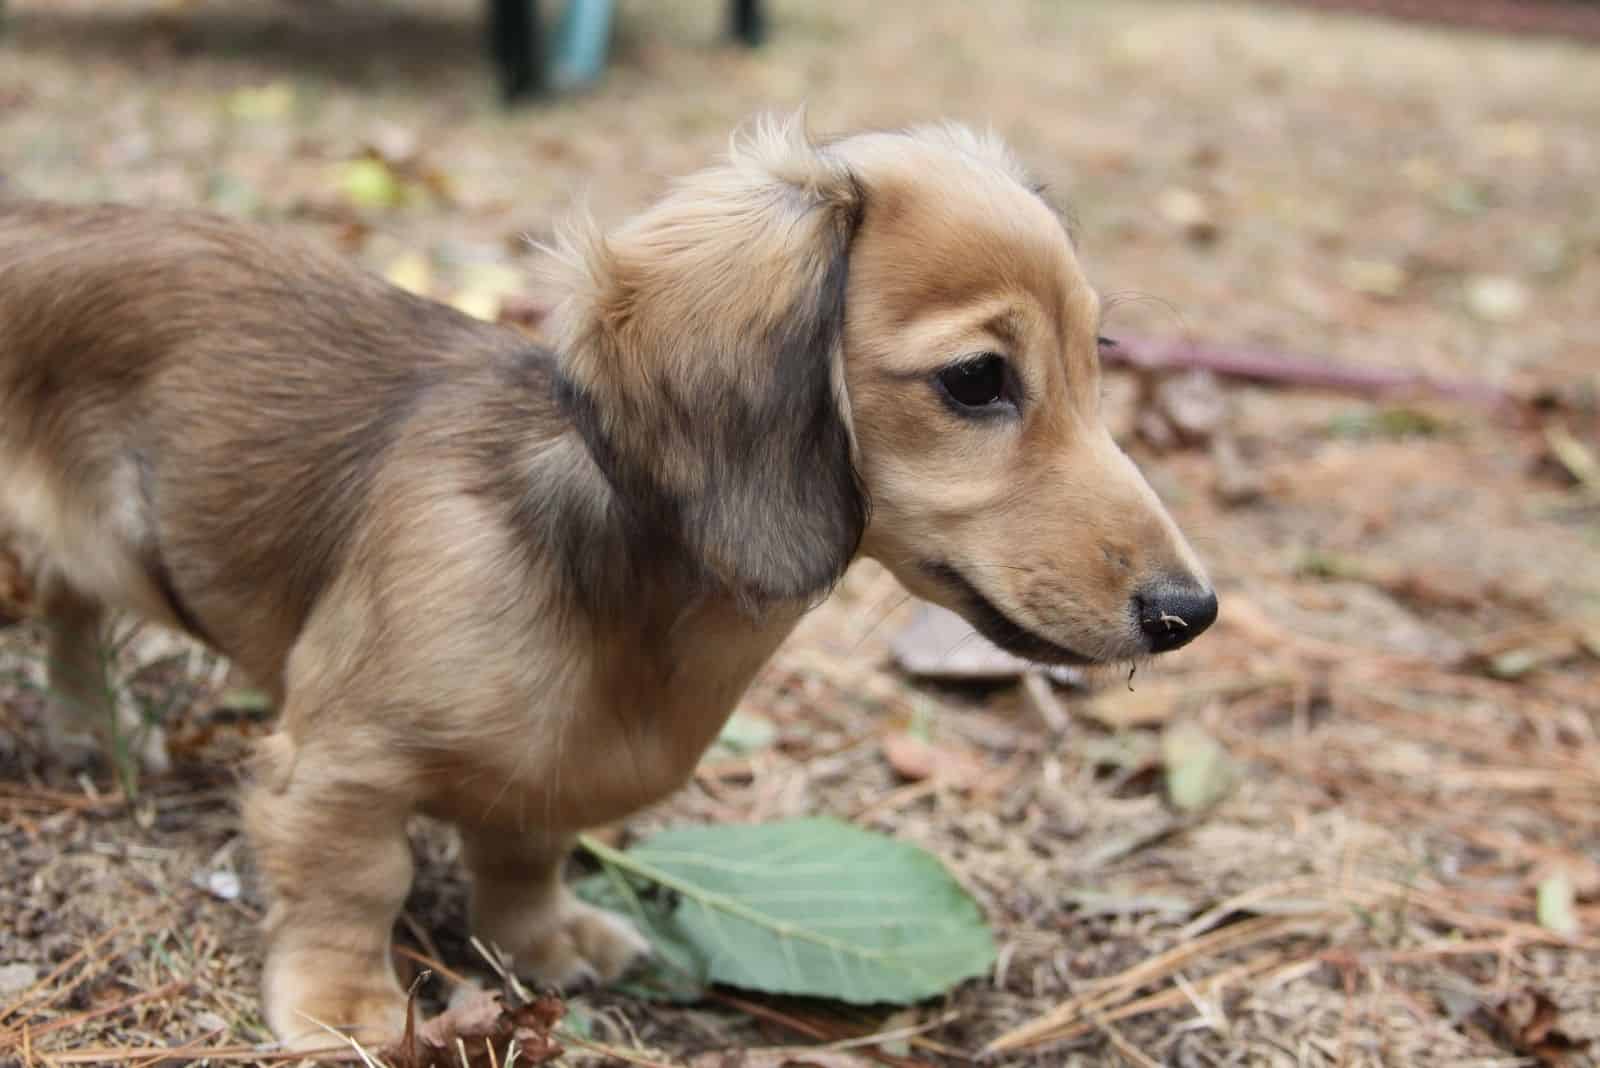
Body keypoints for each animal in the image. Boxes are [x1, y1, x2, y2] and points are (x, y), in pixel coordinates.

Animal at [0, 120, 1209, 1048]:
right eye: (975, 380)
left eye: (1099, 361)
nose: (1188, 613)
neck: (645, 606)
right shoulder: (341, 763)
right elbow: (355, 881)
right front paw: (344, 1003)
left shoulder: (544, 777)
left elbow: (522, 860)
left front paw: (541, 940)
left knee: (72, 613)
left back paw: (94, 730)